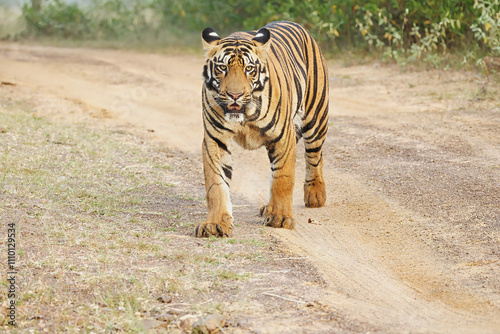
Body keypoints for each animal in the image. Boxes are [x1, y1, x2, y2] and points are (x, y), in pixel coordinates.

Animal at [194, 20, 328, 237]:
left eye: (249, 69)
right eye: (222, 67)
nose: (235, 95)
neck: (245, 115)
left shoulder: (284, 136)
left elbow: (283, 179)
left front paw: (281, 218)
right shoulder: (215, 140)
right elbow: (216, 184)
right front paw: (215, 224)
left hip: (315, 119)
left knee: (315, 156)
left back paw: (315, 194)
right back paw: (268, 207)